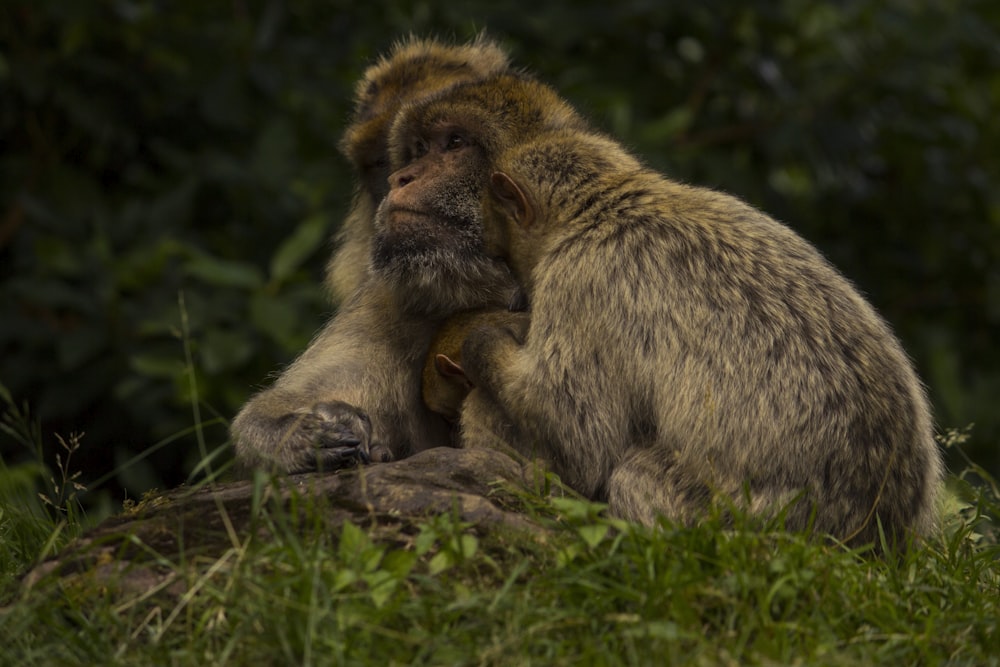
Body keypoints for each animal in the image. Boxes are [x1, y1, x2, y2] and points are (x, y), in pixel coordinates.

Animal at [231, 37, 532, 474]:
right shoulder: (387, 299)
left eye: (451, 144)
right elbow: (264, 415)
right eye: (381, 162)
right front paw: (304, 432)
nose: (396, 181)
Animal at [384, 77, 944, 548]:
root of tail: (877, 539)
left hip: (734, 522)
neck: (606, 208)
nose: (402, 176)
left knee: (633, 474)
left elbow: (577, 435)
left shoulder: (580, 280)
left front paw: (484, 342)